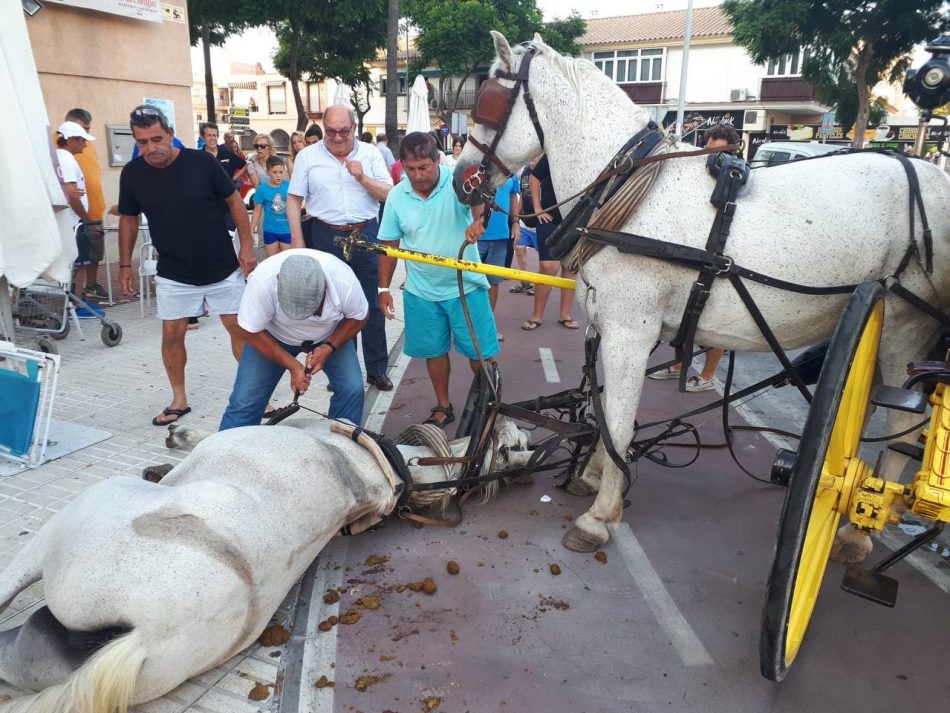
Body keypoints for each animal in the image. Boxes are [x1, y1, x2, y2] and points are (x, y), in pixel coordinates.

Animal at [0, 418, 536, 712]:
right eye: (510, 448)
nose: (527, 453)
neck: (377, 464)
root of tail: (147, 637)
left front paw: (179, 437)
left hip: (68, 529)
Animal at [454, 33, 950, 552]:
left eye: (490, 103)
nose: (461, 180)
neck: (626, 189)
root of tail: (935, 176)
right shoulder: (613, 325)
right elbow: (609, 412)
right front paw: (591, 474)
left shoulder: (630, 332)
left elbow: (618, 421)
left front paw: (600, 515)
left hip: (905, 327)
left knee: (900, 424)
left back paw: (859, 523)